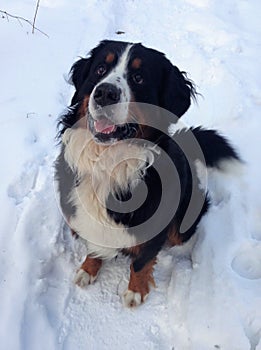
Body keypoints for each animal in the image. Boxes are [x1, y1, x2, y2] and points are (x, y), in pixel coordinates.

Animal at [55, 39, 242, 306]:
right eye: (100, 69)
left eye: (139, 78)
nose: (105, 93)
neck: (108, 163)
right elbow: (94, 245)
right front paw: (88, 269)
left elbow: (141, 262)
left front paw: (136, 291)